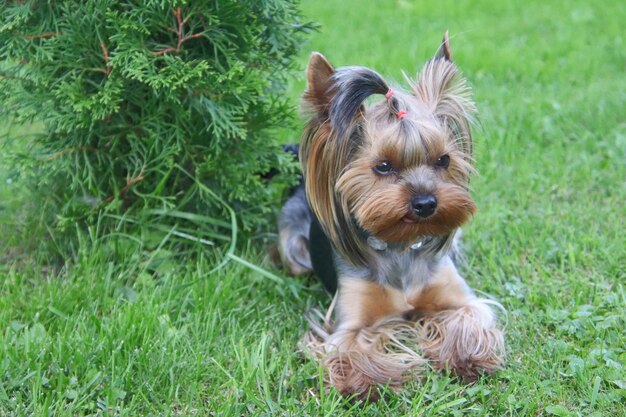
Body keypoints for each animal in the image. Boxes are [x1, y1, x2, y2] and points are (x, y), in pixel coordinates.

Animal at [278, 33, 502, 400]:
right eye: (383, 166)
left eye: (443, 160)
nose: (426, 203)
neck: (401, 245)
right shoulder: (352, 321)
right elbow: (351, 349)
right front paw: (367, 383)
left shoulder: (458, 299)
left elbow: (469, 317)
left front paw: (466, 359)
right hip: (293, 246)